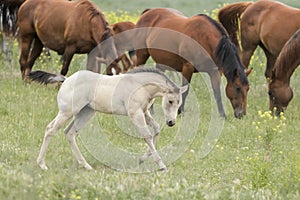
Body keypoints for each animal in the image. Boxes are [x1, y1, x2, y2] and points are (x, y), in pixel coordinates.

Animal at [28, 68, 188, 171]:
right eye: (170, 101)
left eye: (179, 103)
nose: (171, 122)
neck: (140, 86)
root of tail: (66, 79)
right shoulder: (136, 114)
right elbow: (147, 136)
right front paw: (161, 166)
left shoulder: (145, 113)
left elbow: (156, 130)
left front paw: (142, 159)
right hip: (67, 112)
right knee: (51, 129)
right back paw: (42, 164)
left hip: (85, 113)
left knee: (69, 133)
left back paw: (86, 165)